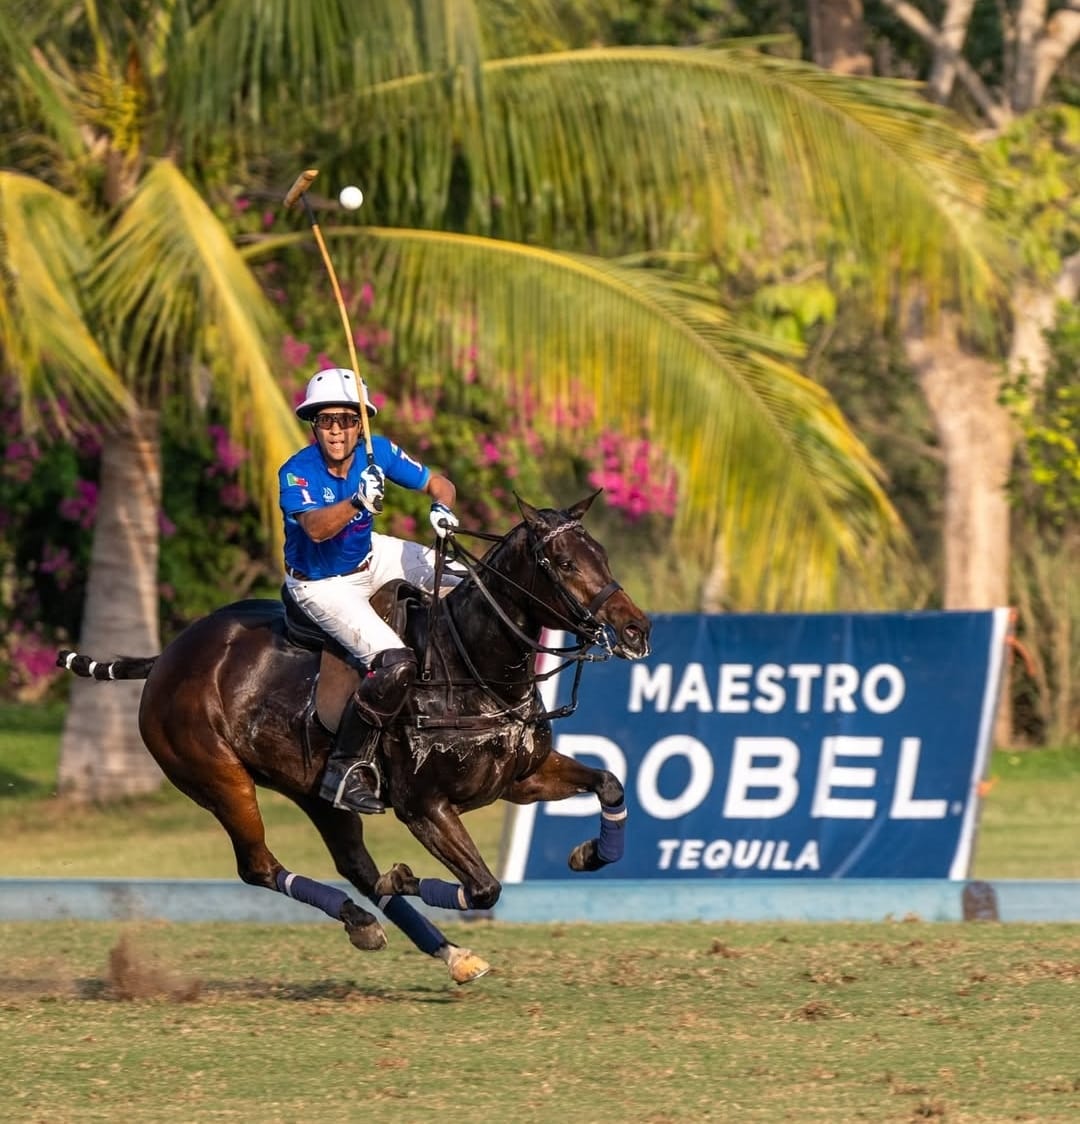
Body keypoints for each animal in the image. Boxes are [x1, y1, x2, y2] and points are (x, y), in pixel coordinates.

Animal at [59, 494, 647, 984]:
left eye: (601, 554)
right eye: (564, 563)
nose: (637, 629)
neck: (471, 669)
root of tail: (166, 658)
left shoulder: (519, 778)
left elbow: (609, 782)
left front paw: (591, 854)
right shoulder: (423, 805)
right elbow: (484, 886)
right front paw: (404, 877)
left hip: (314, 790)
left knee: (355, 867)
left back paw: (443, 950)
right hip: (220, 779)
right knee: (259, 866)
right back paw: (364, 919)